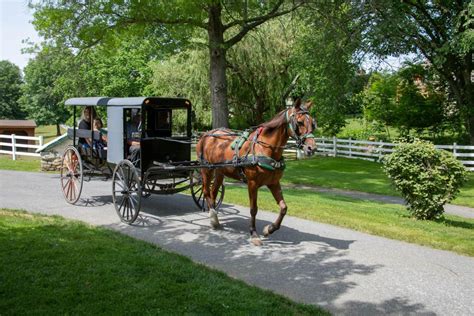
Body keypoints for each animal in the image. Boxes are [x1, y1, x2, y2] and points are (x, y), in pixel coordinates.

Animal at [198, 100, 316, 246]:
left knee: (213, 192)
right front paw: (254, 234)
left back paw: (214, 216)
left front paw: (269, 229)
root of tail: (207, 134)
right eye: (299, 122)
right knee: (206, 191)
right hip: (206, 169)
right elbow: (253, 209)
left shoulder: (274, 183)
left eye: (313, 123)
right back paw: (213, 217)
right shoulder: (252, 184)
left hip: (220, 171)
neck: (264, 148)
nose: (311, 148)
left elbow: (283, 207)